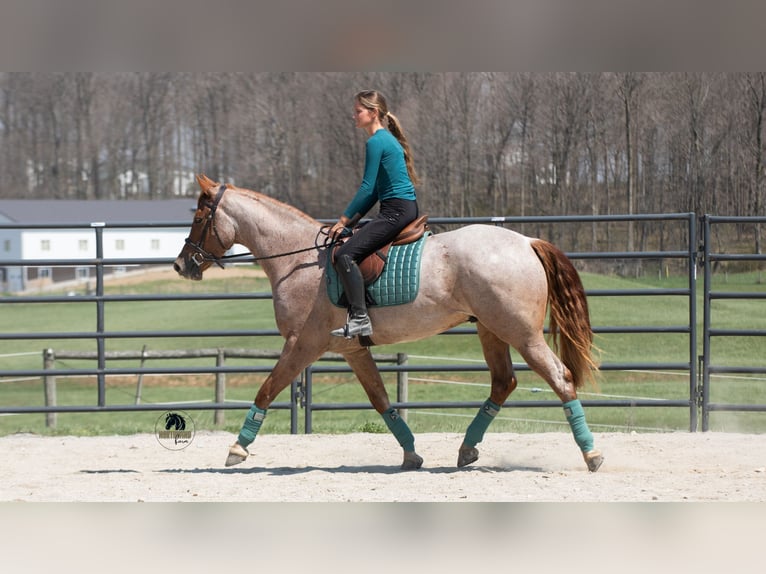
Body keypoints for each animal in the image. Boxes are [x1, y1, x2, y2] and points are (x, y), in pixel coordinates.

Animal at [174, 174, 604, 473]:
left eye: (199, 217)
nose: (181, 265)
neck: (300, 261)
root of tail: (526, 242)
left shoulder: (302, 345)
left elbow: (267, 389)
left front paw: (236, 449)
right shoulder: (351, 350)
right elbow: (381, 400)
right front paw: (411, 454)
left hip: (521, 334)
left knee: (560, 378)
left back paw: (592, 454)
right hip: (491, 329)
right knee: (504, 382)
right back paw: (467, 449)